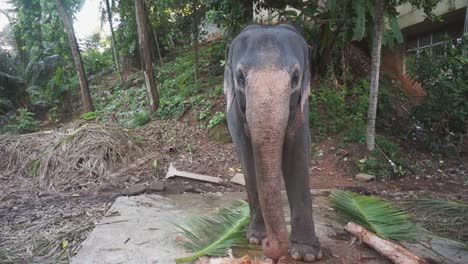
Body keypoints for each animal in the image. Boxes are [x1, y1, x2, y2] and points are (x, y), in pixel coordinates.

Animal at [224, 24, 322, 262]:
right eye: (240, 78)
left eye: (295, 78)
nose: (268, 244)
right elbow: (247, 155)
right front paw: (256, 238)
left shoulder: (302, 108)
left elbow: (297, 154)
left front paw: (305, 254)